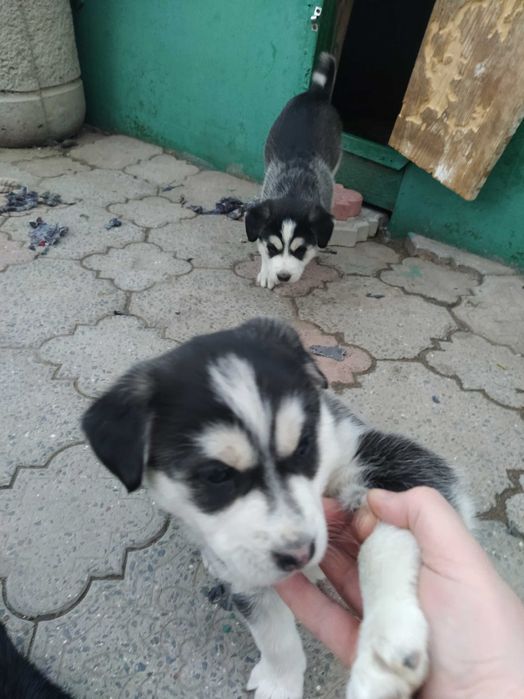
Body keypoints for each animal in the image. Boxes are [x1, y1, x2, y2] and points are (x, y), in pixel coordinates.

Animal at [82, 318, 473, 699]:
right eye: (215, 475)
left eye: (304, 446)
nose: (300, 555)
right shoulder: (245, 566)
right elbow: (274, 636)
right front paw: (280, 681)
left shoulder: (405, 470)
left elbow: (383, 544)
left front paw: (383, 649)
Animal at [245, 53, 342, 289]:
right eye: (273, 248)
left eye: (301, 250)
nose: (283, 276)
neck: (293, 190)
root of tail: (315, 95)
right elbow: (261, 246)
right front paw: (266, 273)